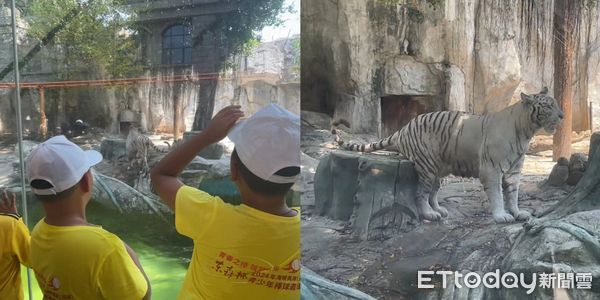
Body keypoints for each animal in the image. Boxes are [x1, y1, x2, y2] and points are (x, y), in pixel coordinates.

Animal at [332, 86, 564, 223]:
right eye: (548, 106)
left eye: (556, 104)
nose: (562, 115)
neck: (525, 131)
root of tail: (403, 129)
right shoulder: (492, 170)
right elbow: (498, 195)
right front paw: (501, 216)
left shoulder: (514, 170)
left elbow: (513, 194)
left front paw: (517, 213)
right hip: (426, 167)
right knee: (421, 193)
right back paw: (429, 214)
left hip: (438, 170)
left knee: (433, 193)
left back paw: (439, 209)